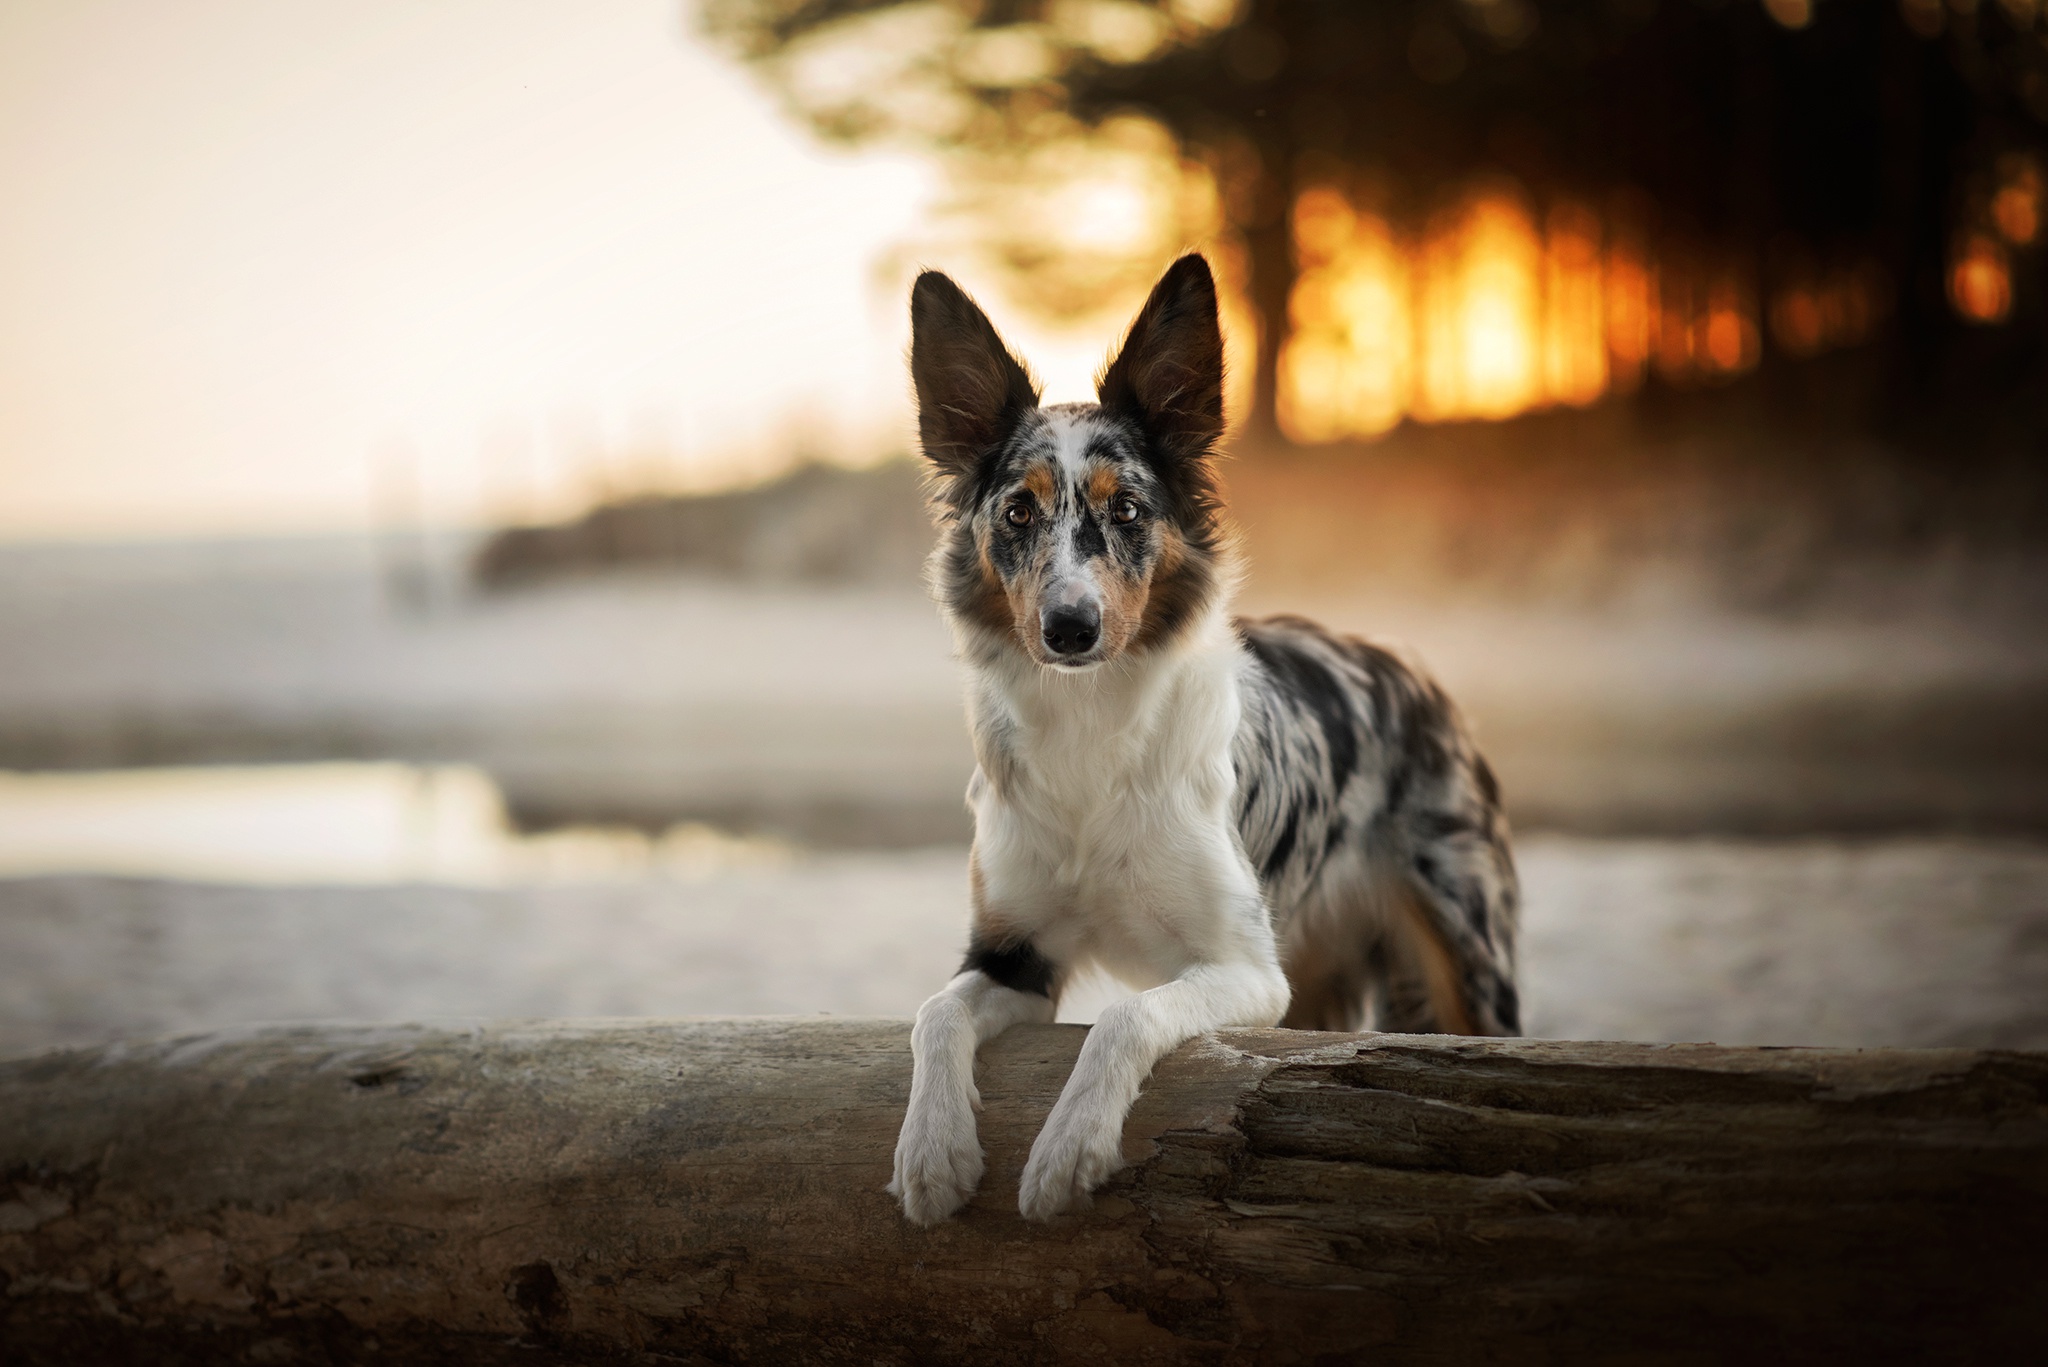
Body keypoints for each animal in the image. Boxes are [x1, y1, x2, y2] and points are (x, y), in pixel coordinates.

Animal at [888, 251, 1515, 1221]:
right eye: (1019, 513)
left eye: (1129, 511)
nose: (1071, 627)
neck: (1091, 730)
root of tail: (1409, 666)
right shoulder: (1012, 954)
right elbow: (935, 1012)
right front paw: (932, 1149)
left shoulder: (1248, 970)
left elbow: (1123, 1015)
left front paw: (1069, 1147)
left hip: (1470, 960)